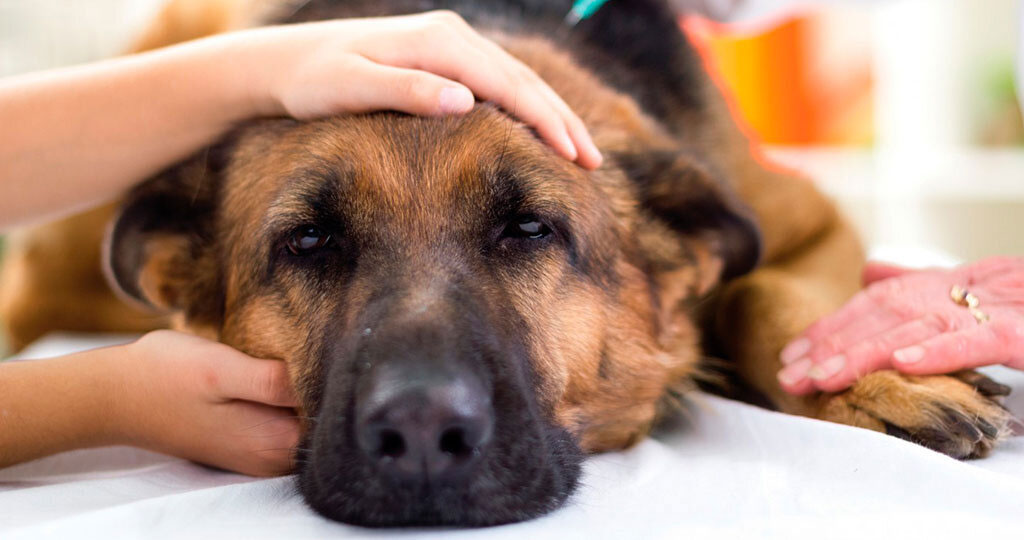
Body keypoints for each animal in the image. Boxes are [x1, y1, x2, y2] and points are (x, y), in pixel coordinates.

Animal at [0, 0, 1007, 528]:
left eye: (529, 229)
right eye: (309, 241)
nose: (419, 436)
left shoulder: (811, 228)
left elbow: (761, 295)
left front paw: (873, 379)